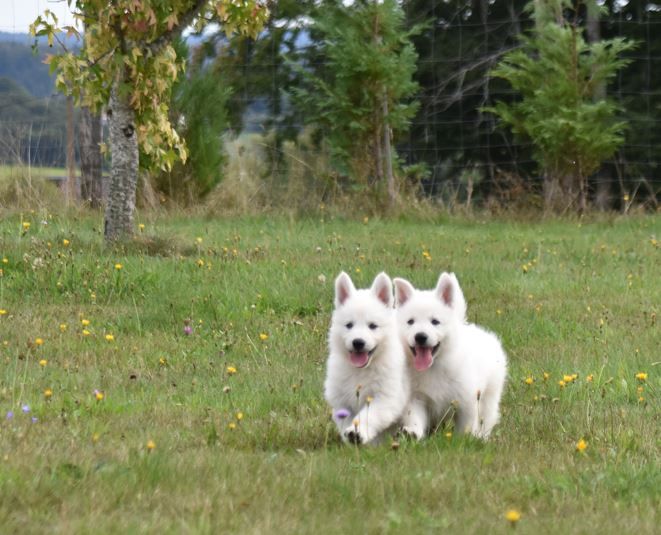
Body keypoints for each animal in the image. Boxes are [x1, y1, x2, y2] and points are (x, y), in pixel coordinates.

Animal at [324, 272, 410, 444]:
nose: (358, 342)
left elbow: (369, 416)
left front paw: (357, 432)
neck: (362, 370)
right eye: (349, 325)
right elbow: (346, 418)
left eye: (372, 326)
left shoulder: (385, 397)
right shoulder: (341, 398)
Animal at [394, 274, 508, 442]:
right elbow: (414, 417)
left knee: (487, 417)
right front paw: (413, 433)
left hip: (490, 395)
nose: (420, 336)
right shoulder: (416, 398)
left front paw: (466, 439)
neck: (433, 367)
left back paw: (482, 437)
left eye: (435, 321)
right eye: (410, 322)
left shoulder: (466, 400)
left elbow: (466, 424)